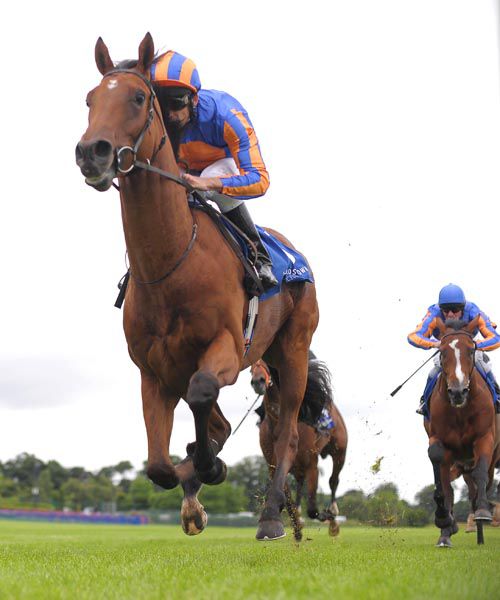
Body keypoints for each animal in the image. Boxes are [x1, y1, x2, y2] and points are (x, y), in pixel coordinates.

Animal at [76, 32, 320, 540]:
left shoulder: (225, 348)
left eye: (139, 97)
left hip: (291, 352)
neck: (171, 264)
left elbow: (203, 394)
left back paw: (271, 516)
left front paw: (209, 468)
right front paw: (194, 483)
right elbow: (158, 464)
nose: (93, 152)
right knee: (219, 426)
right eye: (90, 99)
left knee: (286, 436)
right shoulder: (154, 371)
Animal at [250, 352, 348, 540]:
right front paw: (295, 527)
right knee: (301, 484)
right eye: (251, 365)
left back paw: (333, 516)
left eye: (267, 360)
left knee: (333, 480)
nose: (258, 381)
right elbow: (288, 500)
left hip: (339, 452)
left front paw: (326, 517)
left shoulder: (312, 465)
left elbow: (313, 508)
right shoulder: (275, 467)